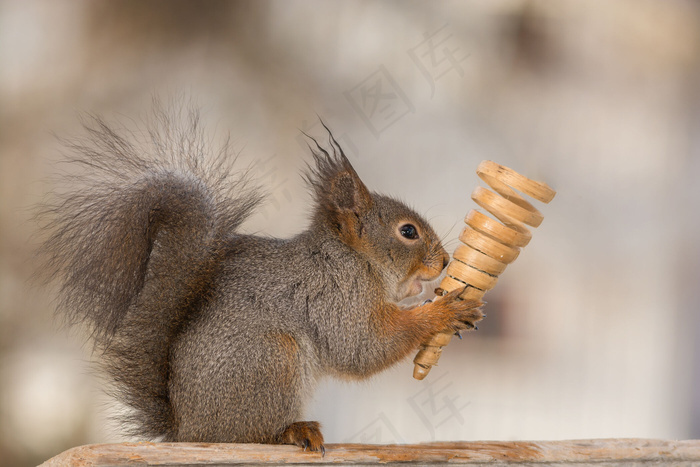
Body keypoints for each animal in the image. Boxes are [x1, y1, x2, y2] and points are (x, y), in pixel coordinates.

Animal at [38, 105, 484, 454]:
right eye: (407, 232)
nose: (445, 261)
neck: (355, 261)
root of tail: (187, 430)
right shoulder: (335, 298)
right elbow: (362, 346)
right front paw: (443, 311)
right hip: (271, 358)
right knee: (249, 434)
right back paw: (293, 430)